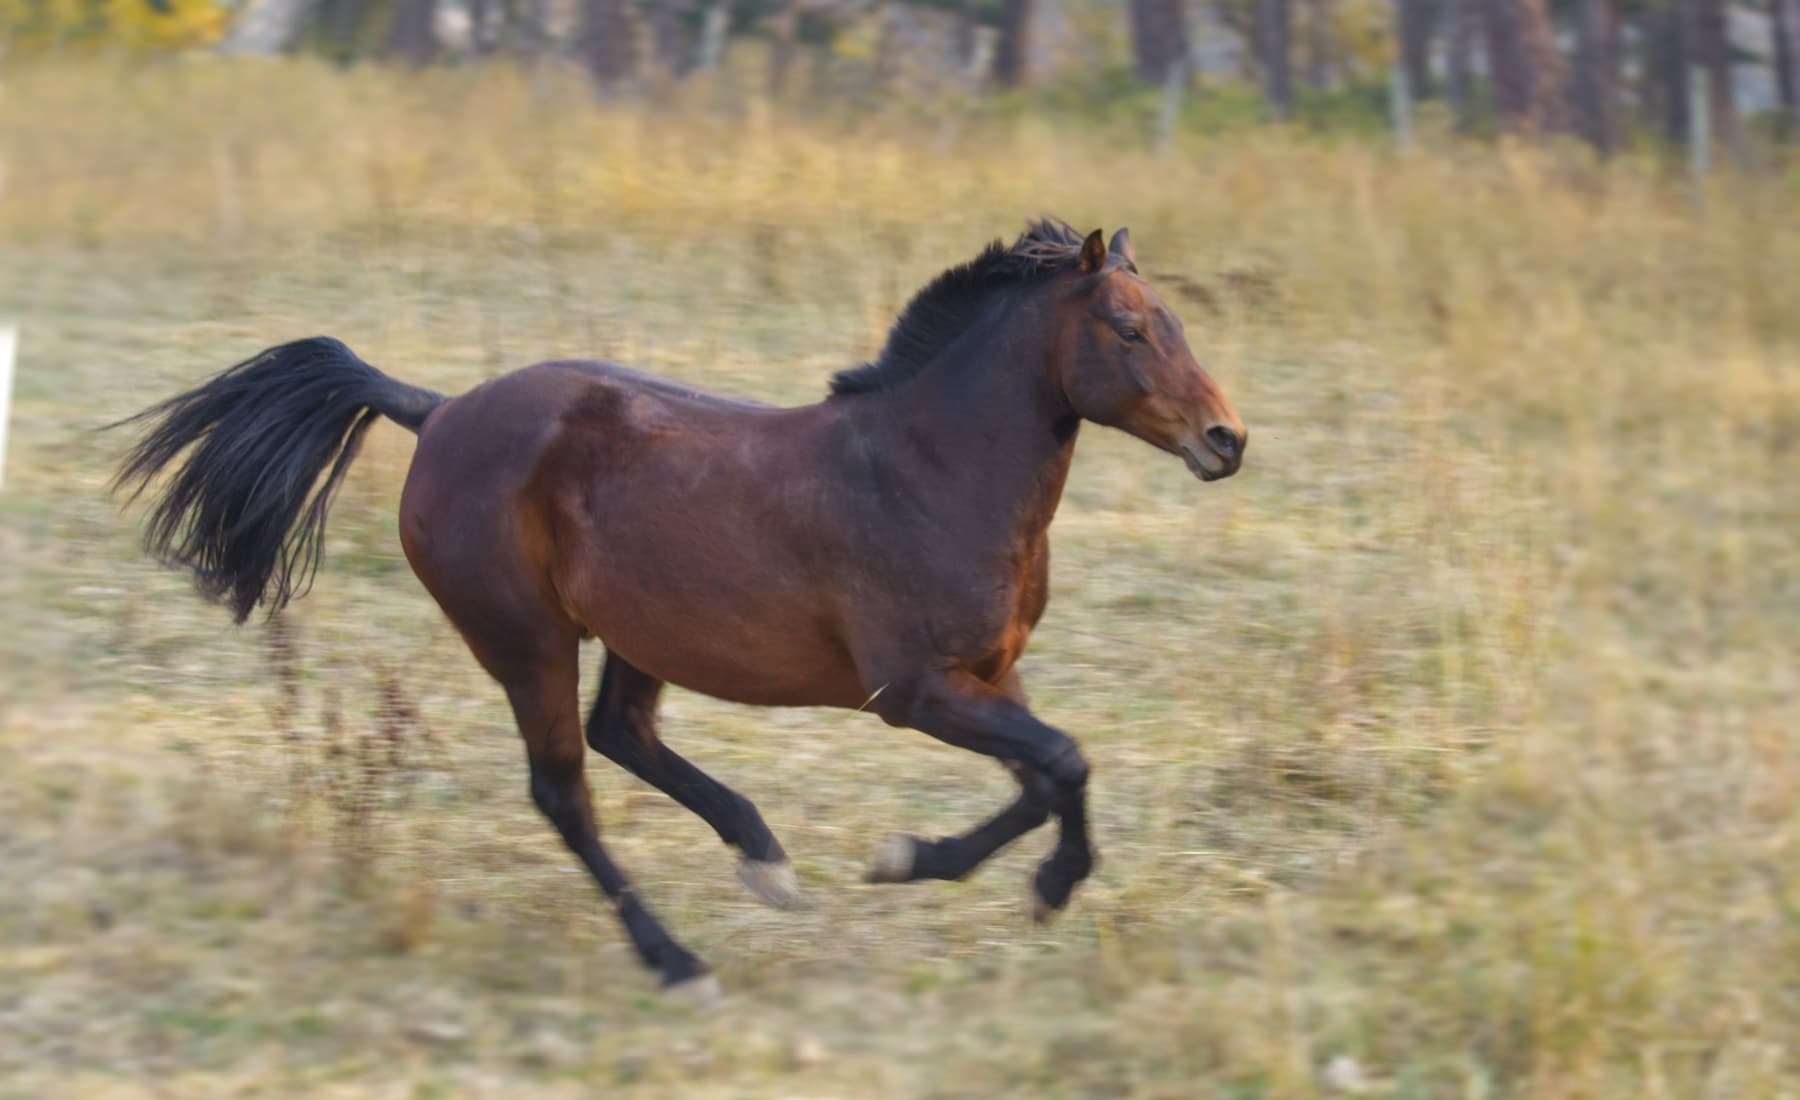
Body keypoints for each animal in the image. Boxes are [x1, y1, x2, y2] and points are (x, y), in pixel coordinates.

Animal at [114, 220, 1246, 1003]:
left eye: (1180, 322)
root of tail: (436, 413)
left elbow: (1048, 772)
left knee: (623, 733)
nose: (1226, 440)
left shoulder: (990, 672)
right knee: (565, 791)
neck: (928, 470)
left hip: (639, 631)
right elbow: (1063, 762)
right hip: (527, 641)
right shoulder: (912, 689)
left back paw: (764, 858)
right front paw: (1002, 878)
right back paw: (678, 960)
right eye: (1129, 327)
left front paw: (952, 867)